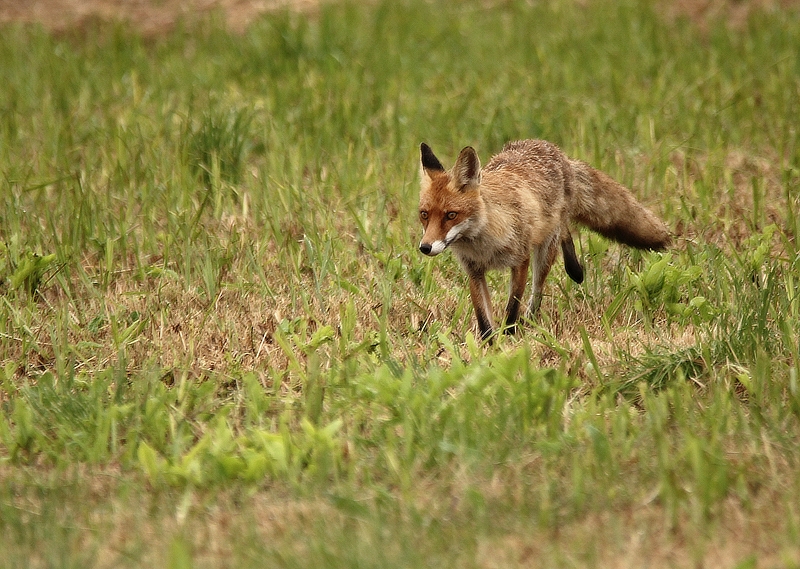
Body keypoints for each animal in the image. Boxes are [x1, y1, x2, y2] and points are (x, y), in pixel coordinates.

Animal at [416, 139, 672, 340]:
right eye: (424, 215)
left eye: (451, 215)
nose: (425, 247)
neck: (482, 243)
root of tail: (553, 149)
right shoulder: (474, 271)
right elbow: (484, 320)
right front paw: (489, 348)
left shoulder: (521, 261)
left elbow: (512, 308)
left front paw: (509, 337)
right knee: (566, 230)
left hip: (545, 250)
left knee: (541, 282)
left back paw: (564, 280)